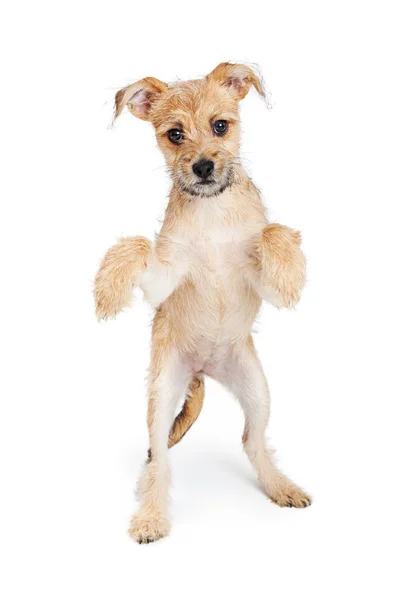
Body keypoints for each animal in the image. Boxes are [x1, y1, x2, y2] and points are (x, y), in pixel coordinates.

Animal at [94, 62, 312, 544]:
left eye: (220, 126)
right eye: (175, 135)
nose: (204, 166)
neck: (212, 211)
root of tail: (204, 369)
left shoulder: (256, 279)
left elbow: (272, 233)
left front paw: (289, 271)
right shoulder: (165, 277)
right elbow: (137, 245)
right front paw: (107, 288)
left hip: (257, 389)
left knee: (253, 441)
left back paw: (280, 486)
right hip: (161, 393)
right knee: (159, 459)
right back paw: (151, 516)